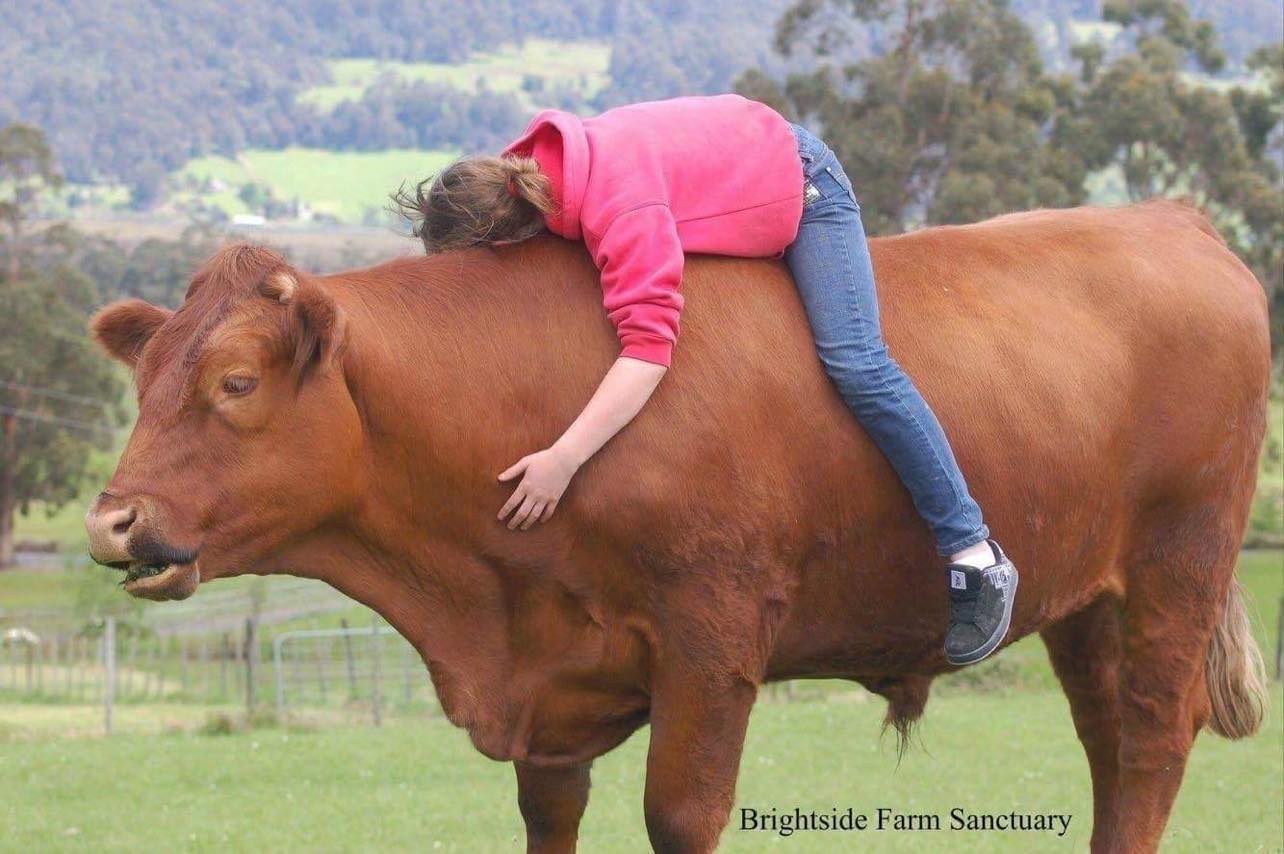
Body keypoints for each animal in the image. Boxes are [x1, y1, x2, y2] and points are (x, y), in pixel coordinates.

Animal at [87, 201, 1263, 852]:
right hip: (1088, 599)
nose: (112, 519)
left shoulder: (710, 642)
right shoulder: (552, 693)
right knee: (1108, 747)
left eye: (236, 382)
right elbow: (550, 814)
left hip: (1179, 564)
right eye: (142, 379)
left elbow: (680, 814)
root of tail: (1169, 216)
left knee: (1150, 741)